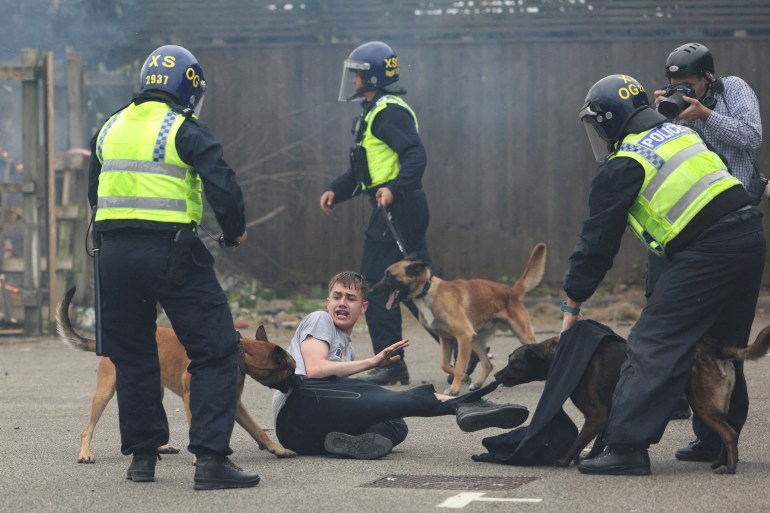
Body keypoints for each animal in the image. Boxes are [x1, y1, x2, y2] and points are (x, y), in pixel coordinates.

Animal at [55, 286, 296, 462]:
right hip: (105, 391)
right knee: (87, 429)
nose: (298, 382)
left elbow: (259, 430)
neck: (239, 352)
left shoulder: (235, 405)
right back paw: (85, 453)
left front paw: (277, 449)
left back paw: (160, 446)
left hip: (154, 391)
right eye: (292, 369)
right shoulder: (193, 399)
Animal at [374, 242, 544, 394]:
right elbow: (446, 364)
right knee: (488, 364)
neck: (428, 291)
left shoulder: (463, 336)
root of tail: (510, 290)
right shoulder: (447, 338)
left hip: (521, 335)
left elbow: (459, 365)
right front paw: (464, 378)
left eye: (390, 277)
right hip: (475, 340)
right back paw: (477, 383)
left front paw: (454, 388)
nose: (371, 289)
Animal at [492, 326, 768, 474]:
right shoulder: (607, 415)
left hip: (703, 405)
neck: (556, 354)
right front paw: (592, 458)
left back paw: (729, 468)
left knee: (729, 434)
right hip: (713, 407)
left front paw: (564, 461)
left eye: (512, 362)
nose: (495, 375)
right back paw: (721, 461)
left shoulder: (595, 416)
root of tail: (715, 346)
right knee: (728, 432)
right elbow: (600, 441)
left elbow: (579, 441)